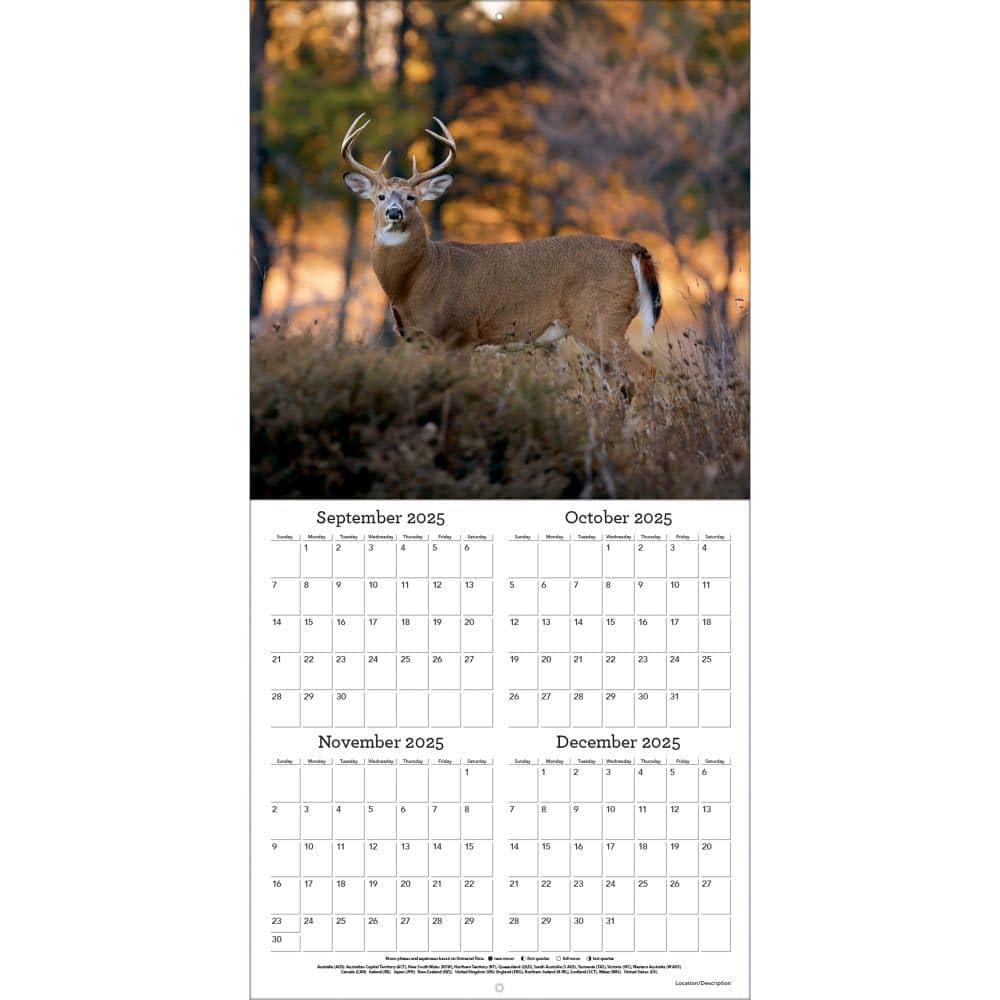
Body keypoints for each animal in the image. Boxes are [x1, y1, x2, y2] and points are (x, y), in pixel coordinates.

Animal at [341, 114, 662, 391]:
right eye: (380, 197)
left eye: (411, 198)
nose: (394, 212)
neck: (417, 277)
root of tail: (632, 249)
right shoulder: (422, 342)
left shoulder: (459, 334)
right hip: (593, 328)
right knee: (618, 383)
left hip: (602, 319)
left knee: (645, 372)